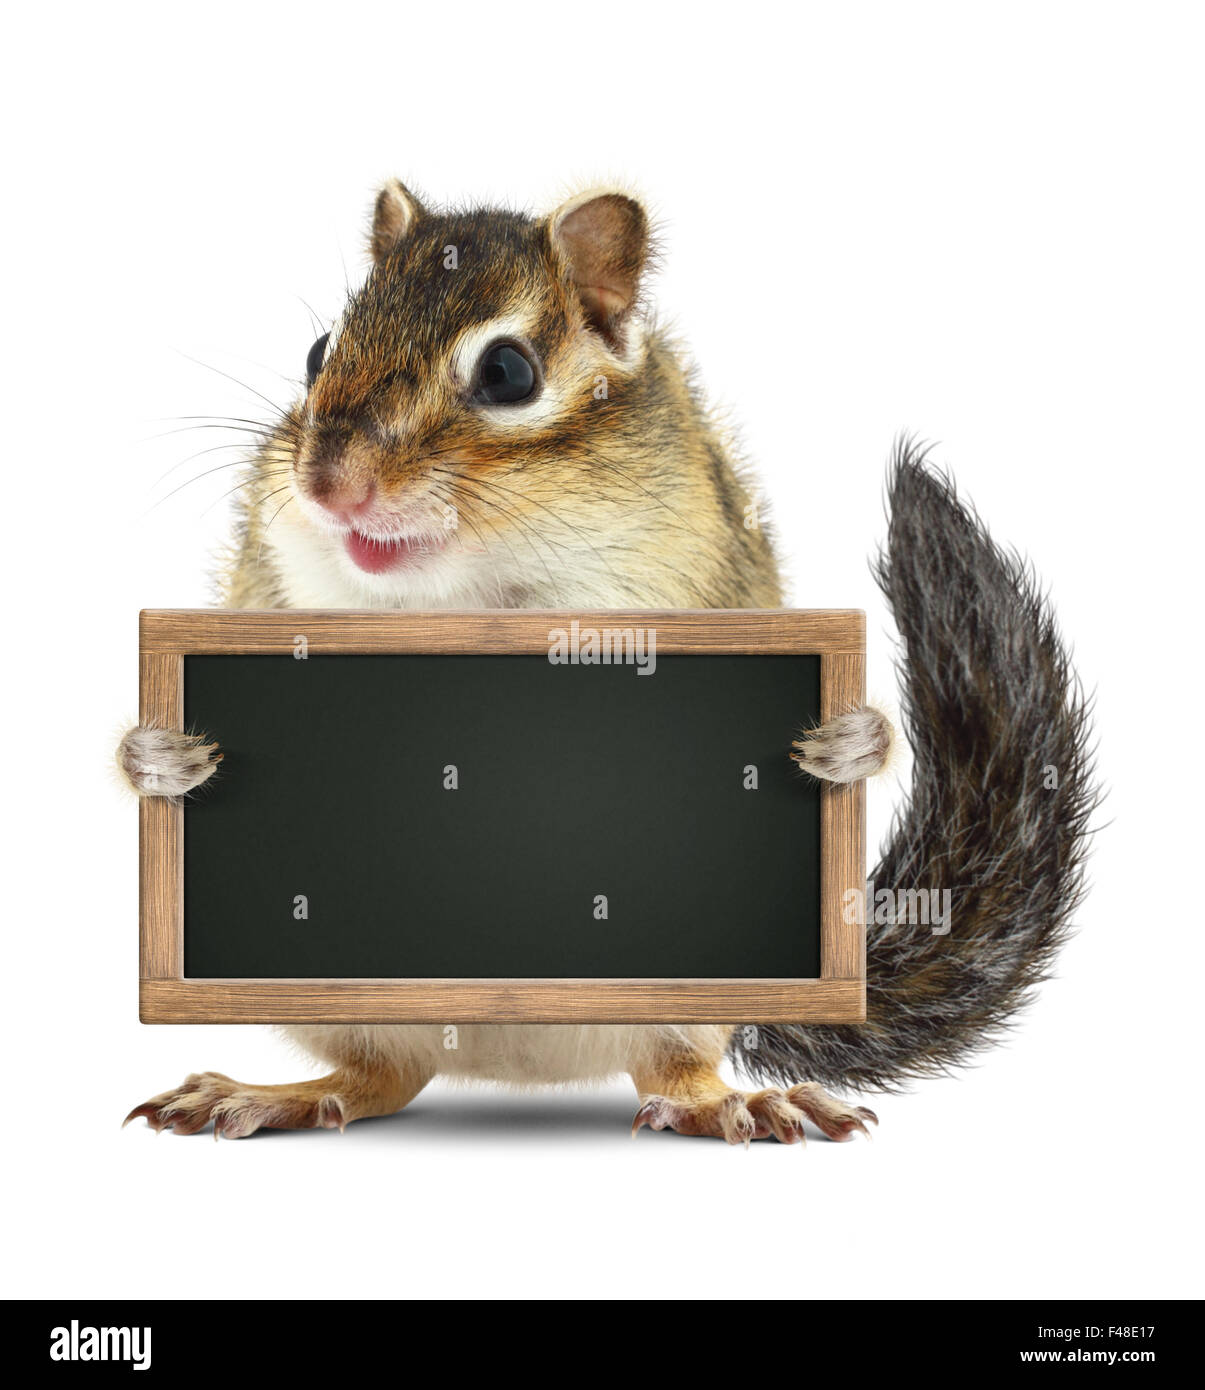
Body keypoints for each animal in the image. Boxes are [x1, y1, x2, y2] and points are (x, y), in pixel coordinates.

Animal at [120, 180, 1093, 1143]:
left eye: (507, 373)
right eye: (320, 350)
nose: (329, 484)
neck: (467, 588)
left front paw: (849, 742)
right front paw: (161, 755)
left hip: (681, 1021)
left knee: (669, 1070)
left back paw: (732, 1101)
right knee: (376, 1079)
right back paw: (270, 1095)